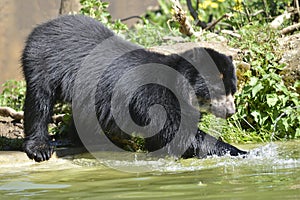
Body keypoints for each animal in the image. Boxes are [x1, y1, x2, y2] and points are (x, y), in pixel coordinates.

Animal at [20, 14, 246, 162]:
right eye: (219, 92)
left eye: (233, 91)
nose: (230, 111)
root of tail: (43, 26)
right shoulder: (153, 96)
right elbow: (174, 133)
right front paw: (241, 152)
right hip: (42, 61)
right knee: (39, 101)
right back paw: (40, 147)